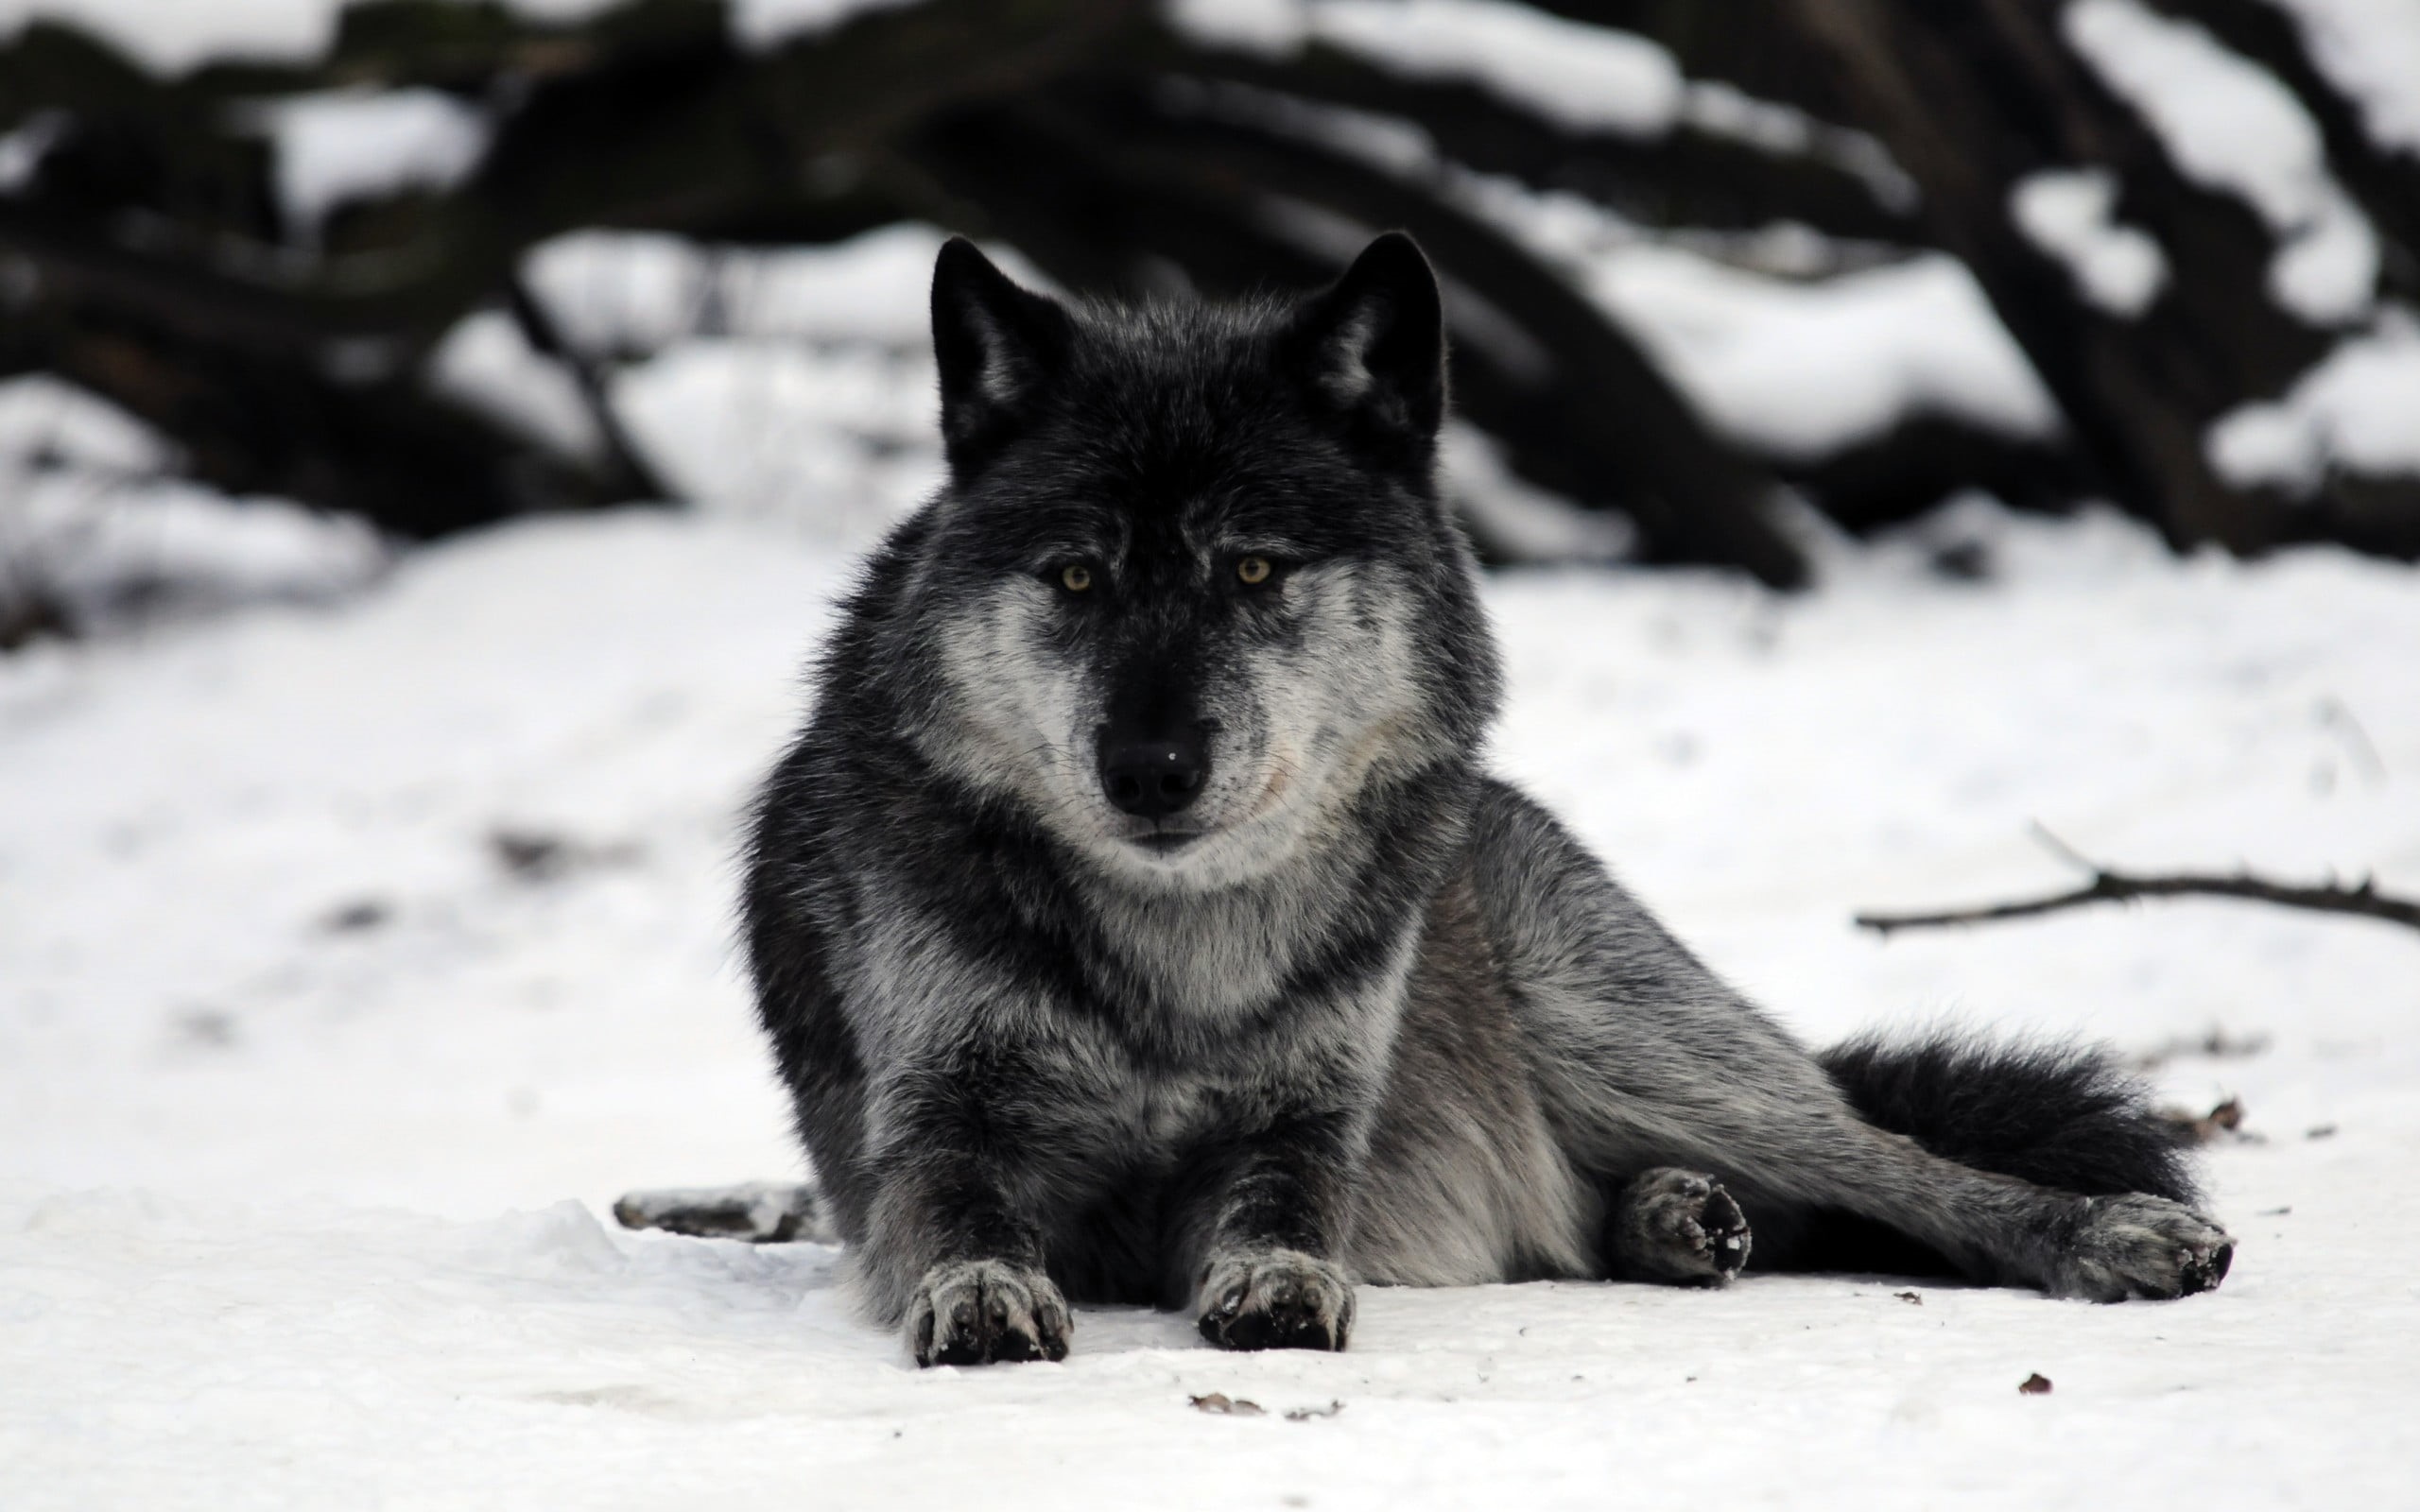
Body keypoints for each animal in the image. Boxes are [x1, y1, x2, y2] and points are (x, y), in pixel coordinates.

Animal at [727, 231, 2231, 1366]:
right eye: (1078, 576)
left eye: (1254, 570)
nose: (1148, 770)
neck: (1182, 956)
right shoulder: (937, 1122)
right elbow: (961, 1214)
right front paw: (981, 1291)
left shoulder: (1305, 1122)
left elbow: (1284, 1208)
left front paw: (1278, 1281)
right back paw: (1678, 1220)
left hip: (1625, 1031)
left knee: (1893, 1162)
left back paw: (2106, 1232)